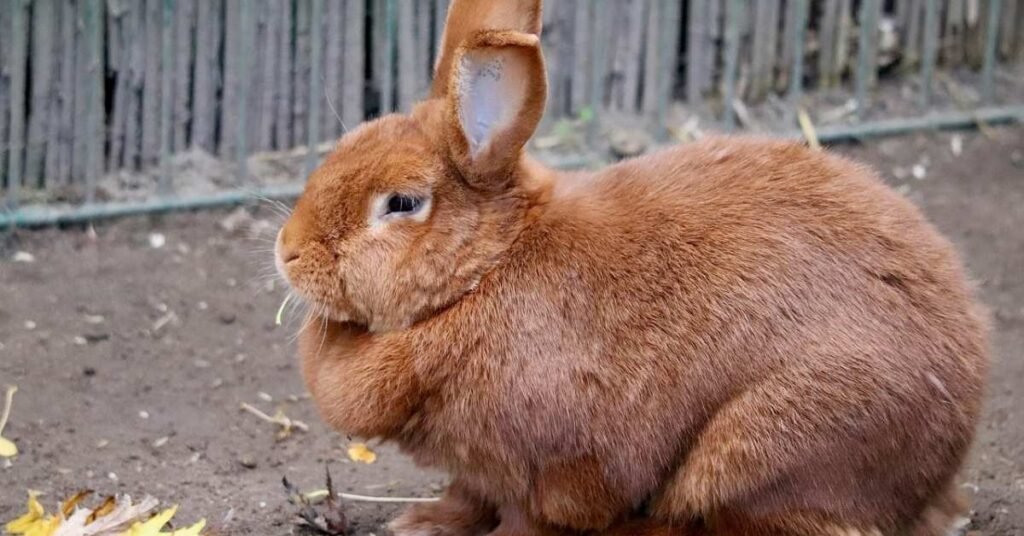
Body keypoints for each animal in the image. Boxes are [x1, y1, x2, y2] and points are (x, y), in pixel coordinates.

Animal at [274, 1, 988, 534]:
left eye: (401, 203)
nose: (286, 250)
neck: (485, 271)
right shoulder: (474, 469)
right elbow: (465, 497)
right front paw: (421, 524)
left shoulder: (547, 466)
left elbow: (528, 517)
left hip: (769, 445)